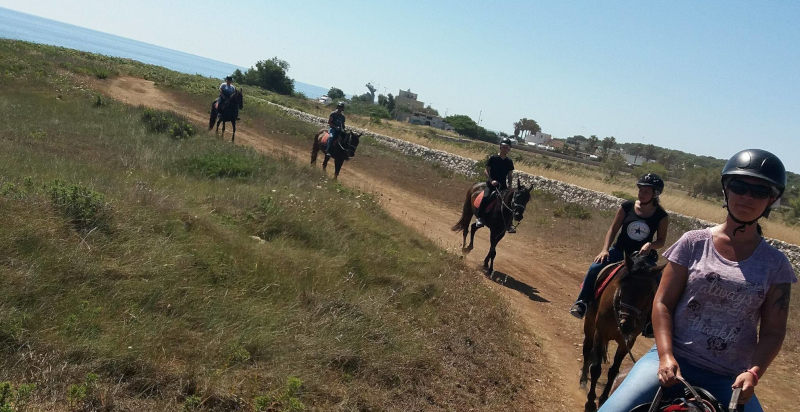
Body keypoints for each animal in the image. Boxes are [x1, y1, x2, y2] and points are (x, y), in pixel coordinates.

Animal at [579, 252, 664, 412]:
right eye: (623, 288)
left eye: (650, 293)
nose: (627, 325)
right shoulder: (601, 333)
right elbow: (596, 369)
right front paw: (591, 402)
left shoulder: (627, 342)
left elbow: (613, 371)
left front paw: (603, 399)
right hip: (590, 325)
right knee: (587, 349)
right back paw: (583, 380)